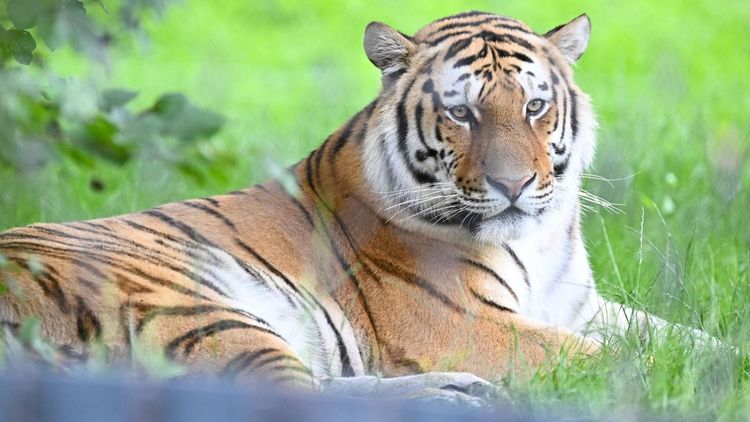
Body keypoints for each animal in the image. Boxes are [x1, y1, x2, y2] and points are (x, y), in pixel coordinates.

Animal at [0, 11, 698, 399]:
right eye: (461, 113)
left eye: (534, 106)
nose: (514, 185)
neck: (541, 239)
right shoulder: (468, 323)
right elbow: (625, 359)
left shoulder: (582, 307)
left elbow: (681, 337)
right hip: (193, 304)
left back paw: (460, 394)